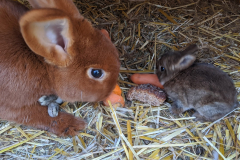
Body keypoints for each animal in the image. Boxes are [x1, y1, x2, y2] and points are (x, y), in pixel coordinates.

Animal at [0, 0, 120, 136]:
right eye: (96, 73)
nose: (110, 91)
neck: (44, 68)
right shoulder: (9, 105)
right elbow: (36, 115)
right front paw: (74, 125)